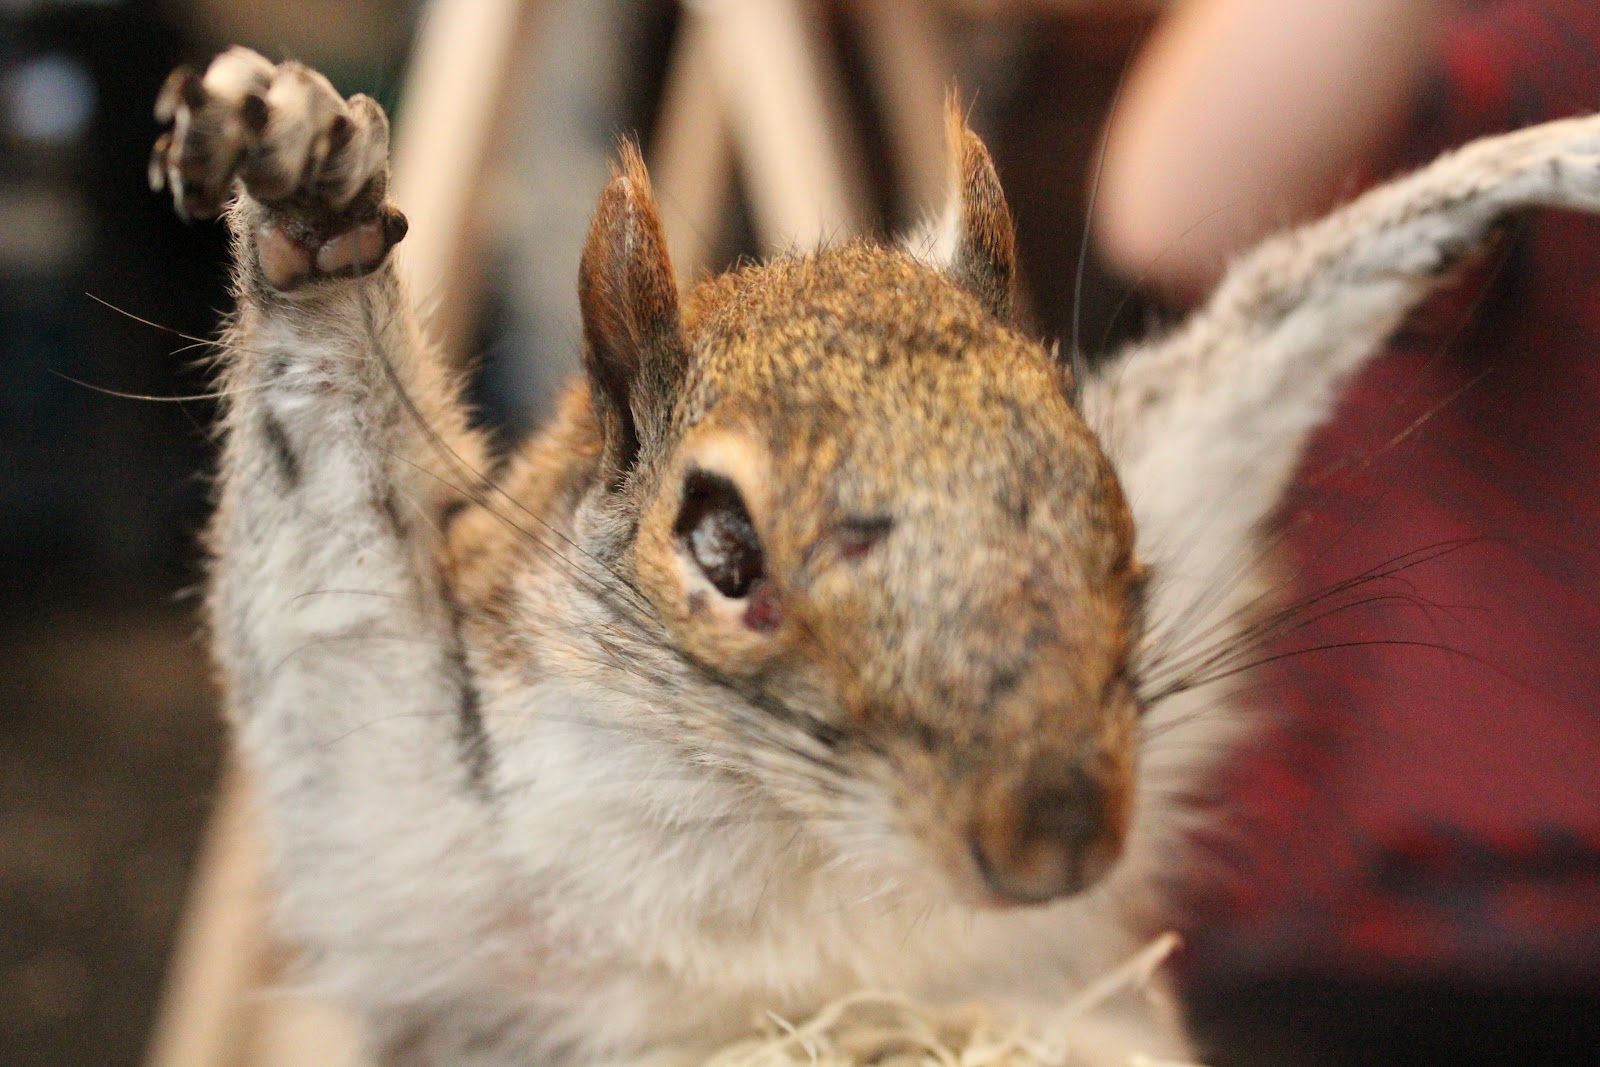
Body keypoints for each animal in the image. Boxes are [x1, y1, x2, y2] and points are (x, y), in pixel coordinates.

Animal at [150, 46, 1600, 1066]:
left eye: (1093, 467)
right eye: (721, 543)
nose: (1058, 840)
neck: (795, 841)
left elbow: (1264, 333)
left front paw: (1519, 161)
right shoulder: (423, 857)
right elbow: (325, 612)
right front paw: (306, 191)